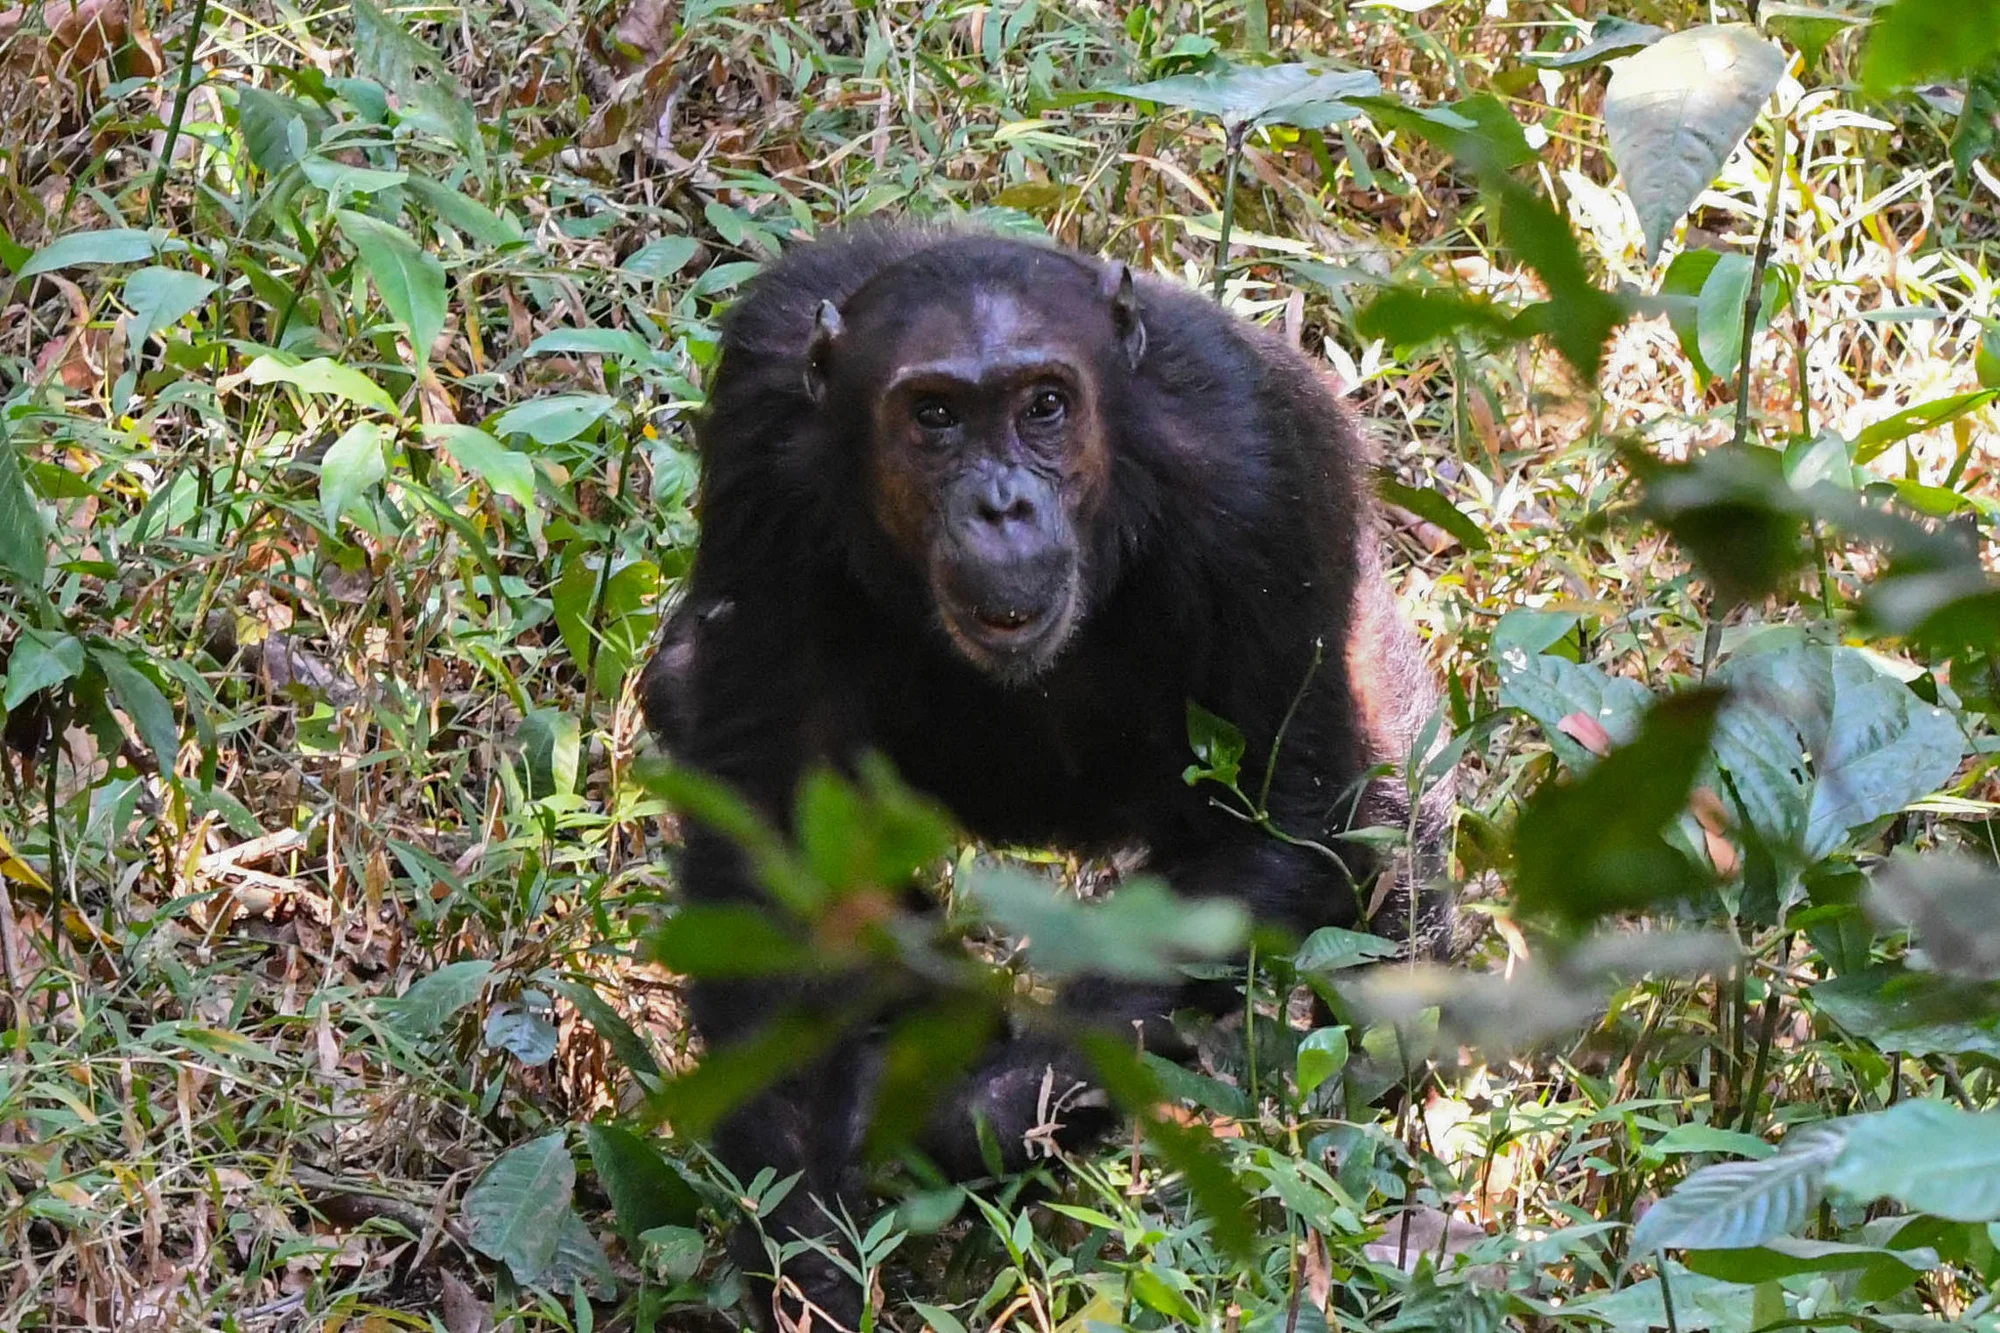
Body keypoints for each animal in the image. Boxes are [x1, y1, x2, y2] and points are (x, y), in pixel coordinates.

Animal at [637, 224, 1456, 1327]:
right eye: (934, 416)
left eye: (1044, 406)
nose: (1000, 502)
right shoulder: (760, 432)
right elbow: (779, 838)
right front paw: (806, 1251)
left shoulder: (1255, 479)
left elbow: (1278, 814)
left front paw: (965, 1115)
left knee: (1386, 821)